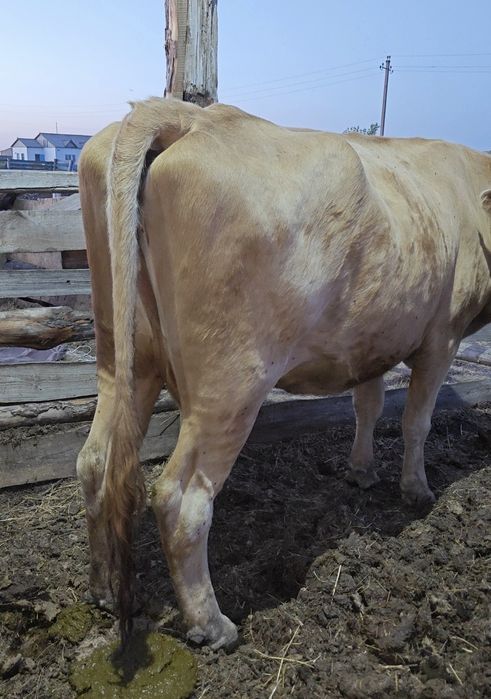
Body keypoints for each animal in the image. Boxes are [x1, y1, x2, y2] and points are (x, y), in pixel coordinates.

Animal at [76, 97, 491, 650]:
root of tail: (190, 115)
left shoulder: (370, 339)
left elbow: (368, 405)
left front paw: (362, 471)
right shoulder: (443, 336)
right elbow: (416, 422)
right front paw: (416, 492)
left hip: (122, 358)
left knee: (95, 461)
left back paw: (103, 588)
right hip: (231, 382)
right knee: (181, 501)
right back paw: (212, 624)